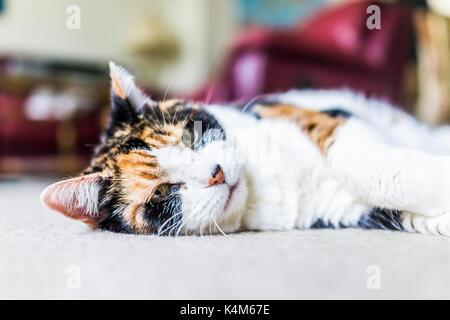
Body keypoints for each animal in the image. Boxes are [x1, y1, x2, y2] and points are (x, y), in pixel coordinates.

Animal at [41, 62, 450, 236]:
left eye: (189, 136)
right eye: (160, 194)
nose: (216, 173)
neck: (266, 189)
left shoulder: (326, 120)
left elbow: (370, 168)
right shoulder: (345, 210)